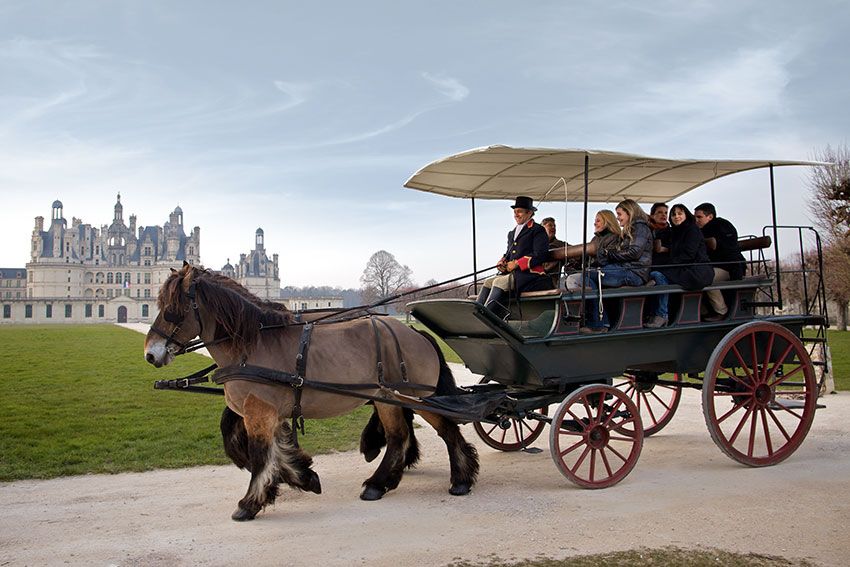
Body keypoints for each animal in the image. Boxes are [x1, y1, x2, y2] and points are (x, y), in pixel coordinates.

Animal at [145, 264, 476, 520]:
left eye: (172, 310)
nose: (150, 354)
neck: (253, 345)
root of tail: (415, 332)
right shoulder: (269, 412)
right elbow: (274, 449)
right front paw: (303, 477)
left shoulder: (258, 411)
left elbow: (261, 455)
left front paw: (250, 503)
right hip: (391, 399)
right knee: (399, 436)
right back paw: (379, 483)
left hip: (416, 397)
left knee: (444, 431)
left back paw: (459, 479)